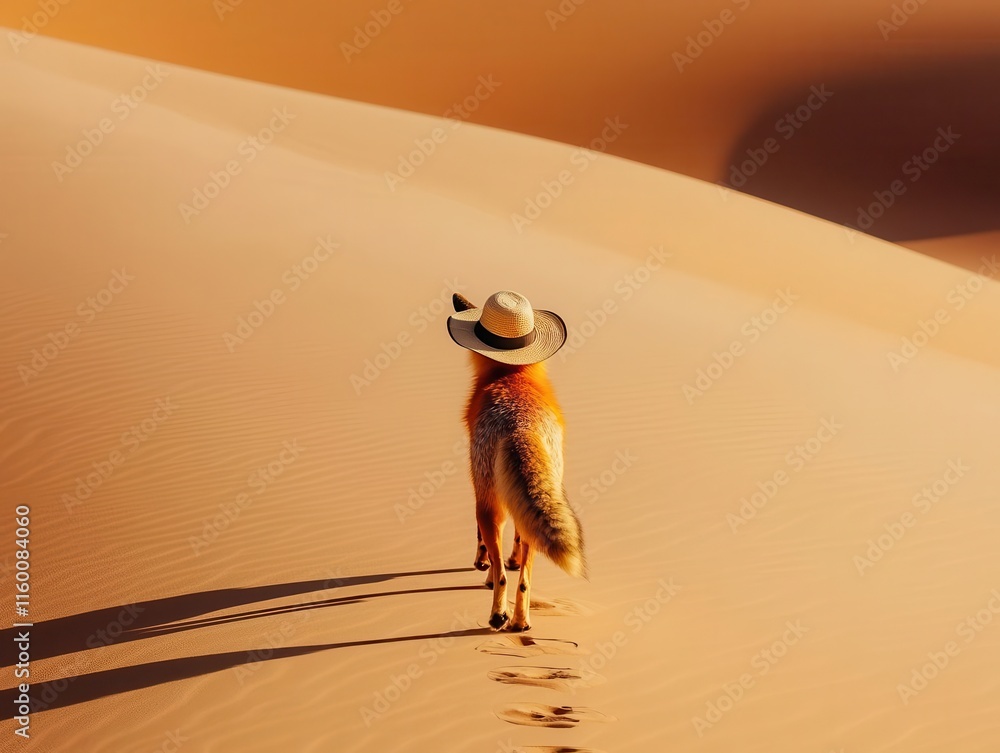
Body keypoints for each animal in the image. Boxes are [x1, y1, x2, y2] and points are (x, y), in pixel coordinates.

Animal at [451, 292, 585, 631]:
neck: (513, 375)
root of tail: (520, 424)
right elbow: (516, 543)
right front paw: (512, 561)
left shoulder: (481, 490)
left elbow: (484, 546)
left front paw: (482, 565)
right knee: (525, 578)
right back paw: (520, 621)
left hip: (488, 505)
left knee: (501, 575)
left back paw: (498, 614)